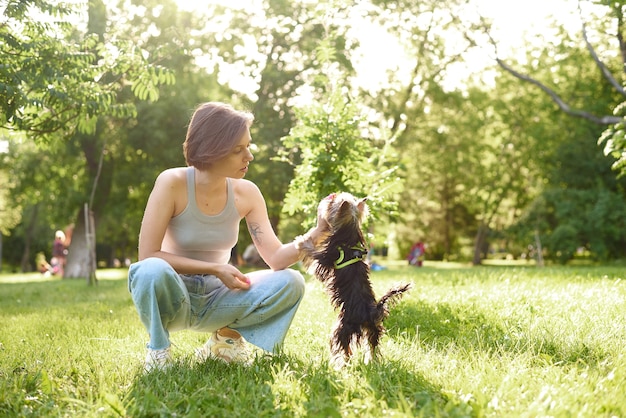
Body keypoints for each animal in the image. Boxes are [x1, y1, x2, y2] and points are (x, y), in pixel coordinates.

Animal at [294, 191, 412, 368]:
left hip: (343, 326)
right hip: (372, 329)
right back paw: (371, 361)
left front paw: (301, 241)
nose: (330, 195)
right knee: (372, 345)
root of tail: (371, 312)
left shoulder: (324, 260)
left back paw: (339, 363)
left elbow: (312, 254)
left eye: (333, 201)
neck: (348, 231)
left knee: (341, 345)